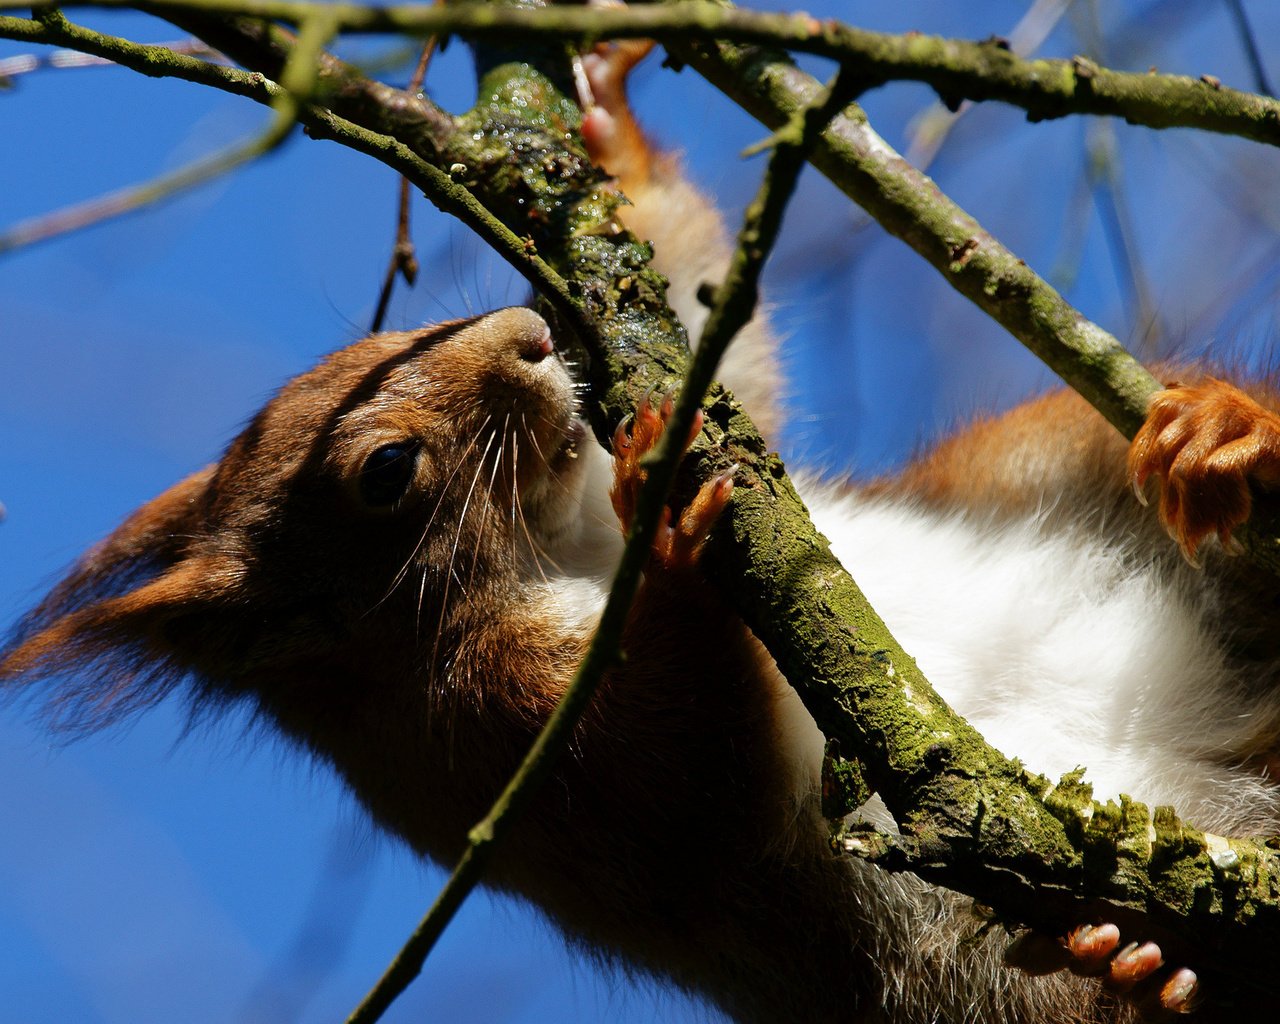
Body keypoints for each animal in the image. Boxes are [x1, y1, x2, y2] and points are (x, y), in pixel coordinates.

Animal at [2, 33, 1280, 1024]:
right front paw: (671, 557)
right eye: (385, 471)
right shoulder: (509, 745)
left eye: (388, 335)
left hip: (1050, 458)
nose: (526, 330)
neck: (563, 538)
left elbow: (716, 342)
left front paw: (601, 123)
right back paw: (1132, 963)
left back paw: (1222, 437)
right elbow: (695, 774)